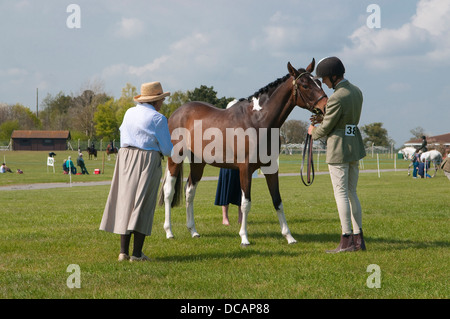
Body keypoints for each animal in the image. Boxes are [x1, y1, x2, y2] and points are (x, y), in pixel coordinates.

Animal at [158, 59, 326, 248]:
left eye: (319, 82)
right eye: (305, 85)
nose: (325, 105)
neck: (258, 121)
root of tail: (176, 113)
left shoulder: (271, 168)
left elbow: (278, 201)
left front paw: (289, 237)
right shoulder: (245, 169)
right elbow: (246, 203)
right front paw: (244, 237)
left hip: (198, 163)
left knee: (189, 191)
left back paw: (193, 231)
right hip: (175, 158)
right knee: (168, 191)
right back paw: (169, 232)